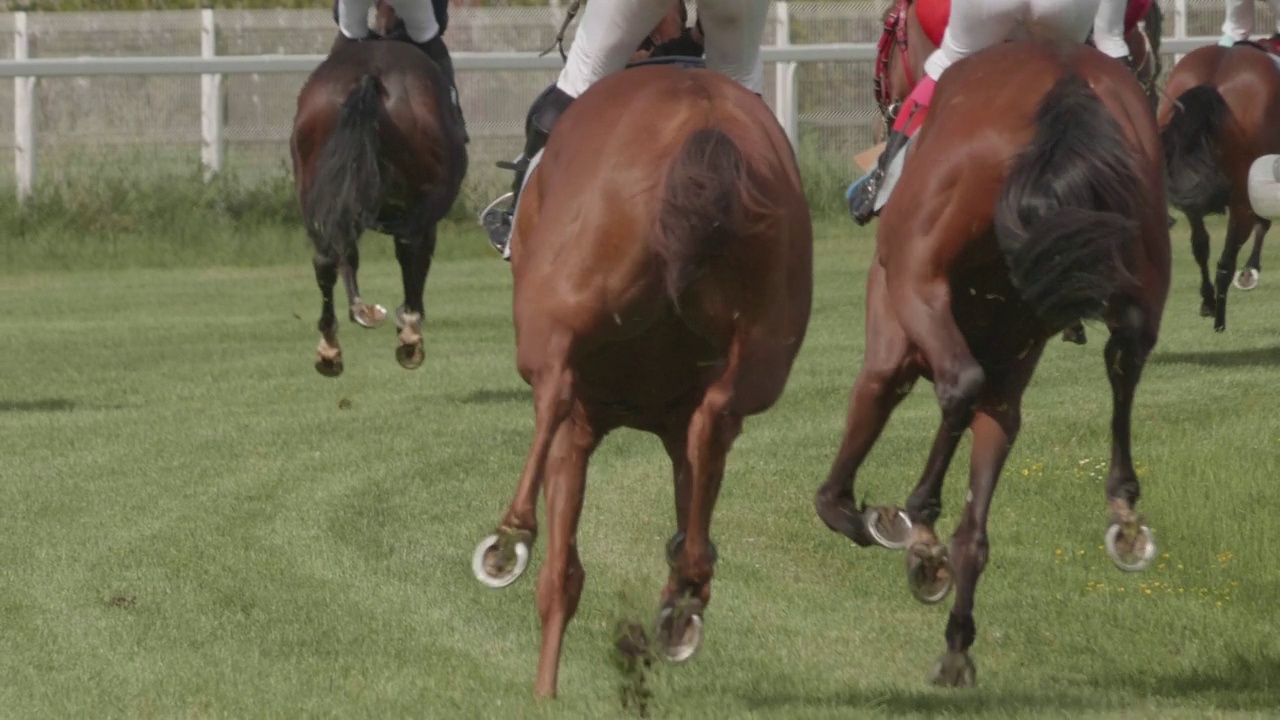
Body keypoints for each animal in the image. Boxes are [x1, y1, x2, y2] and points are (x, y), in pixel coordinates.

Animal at [290, 1, 471, 376]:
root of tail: (370, 75)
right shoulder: (426, 210)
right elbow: (419, 257)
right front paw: (409, 321)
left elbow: (346, 251)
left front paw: (361, 312)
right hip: (425, 197)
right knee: (407, 247)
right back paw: (410, 335)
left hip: (312, 188)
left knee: (326, 255)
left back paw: (330, 346)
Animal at [468, 63, 808, 696]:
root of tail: (704, 119)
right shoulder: (672, 431)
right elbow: (692, 480)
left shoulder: (578, 424)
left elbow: (561, 576)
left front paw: (544, 692)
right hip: (763, 350)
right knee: (716, 420)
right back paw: (686, 591)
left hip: (558, 321)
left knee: (552, 394)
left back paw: (509, 537)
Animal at [814, 37, 1167, 681]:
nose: (885, 95)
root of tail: (1062, 77)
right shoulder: (1012, 367)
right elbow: (982, 493)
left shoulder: (894, 330)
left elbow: (872, 401)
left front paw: (870, 520)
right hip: (1142, 244)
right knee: (1126, 354)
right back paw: (1121, 509)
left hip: (919, 278)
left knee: (958, 383)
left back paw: (919, 520)